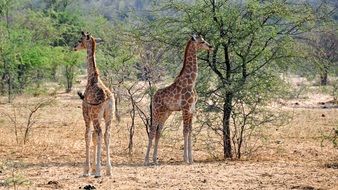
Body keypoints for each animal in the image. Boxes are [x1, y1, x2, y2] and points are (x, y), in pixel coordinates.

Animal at [73, 31, 114, 178]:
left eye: (80, 40)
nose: (74, 47)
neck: (91, 78)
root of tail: (107, 98)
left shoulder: (86, 114)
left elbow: (88, 136)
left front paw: (87, 169)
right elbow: (95, 137)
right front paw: (92, 168)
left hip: (96, 116)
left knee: (100, 133)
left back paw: (98, 171)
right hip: (109, 116)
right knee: (107, 135)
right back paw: (108, 169)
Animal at [144, 34, 213, 165]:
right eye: (202, 42)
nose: (211, 46)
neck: (191, 82)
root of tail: (153, 97)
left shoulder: (192, 110)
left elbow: (190, 131)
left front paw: (191, 159)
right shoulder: (185, 108)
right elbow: (185, 131)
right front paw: (185, 159)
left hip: (166, 113)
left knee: (159, 132)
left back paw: (155, 160)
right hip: (156, 111)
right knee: (152, 131)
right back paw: (146, 161)